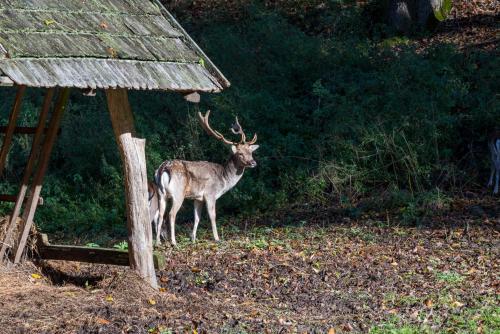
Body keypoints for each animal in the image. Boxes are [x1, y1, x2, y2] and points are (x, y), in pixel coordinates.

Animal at [154, 111, 260, 244]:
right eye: (240, 153)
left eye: (251, 152)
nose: (253, 162)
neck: (224, 179)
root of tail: (163, 168)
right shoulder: (210, 194)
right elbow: (212, 216)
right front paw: (217, 238)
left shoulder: (198, 198)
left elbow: (197, 218)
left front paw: (193, 239)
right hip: (178, 193)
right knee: (171, 214)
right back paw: (173, 242)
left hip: (160, 193)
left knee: (160, 214)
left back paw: (158, 242)